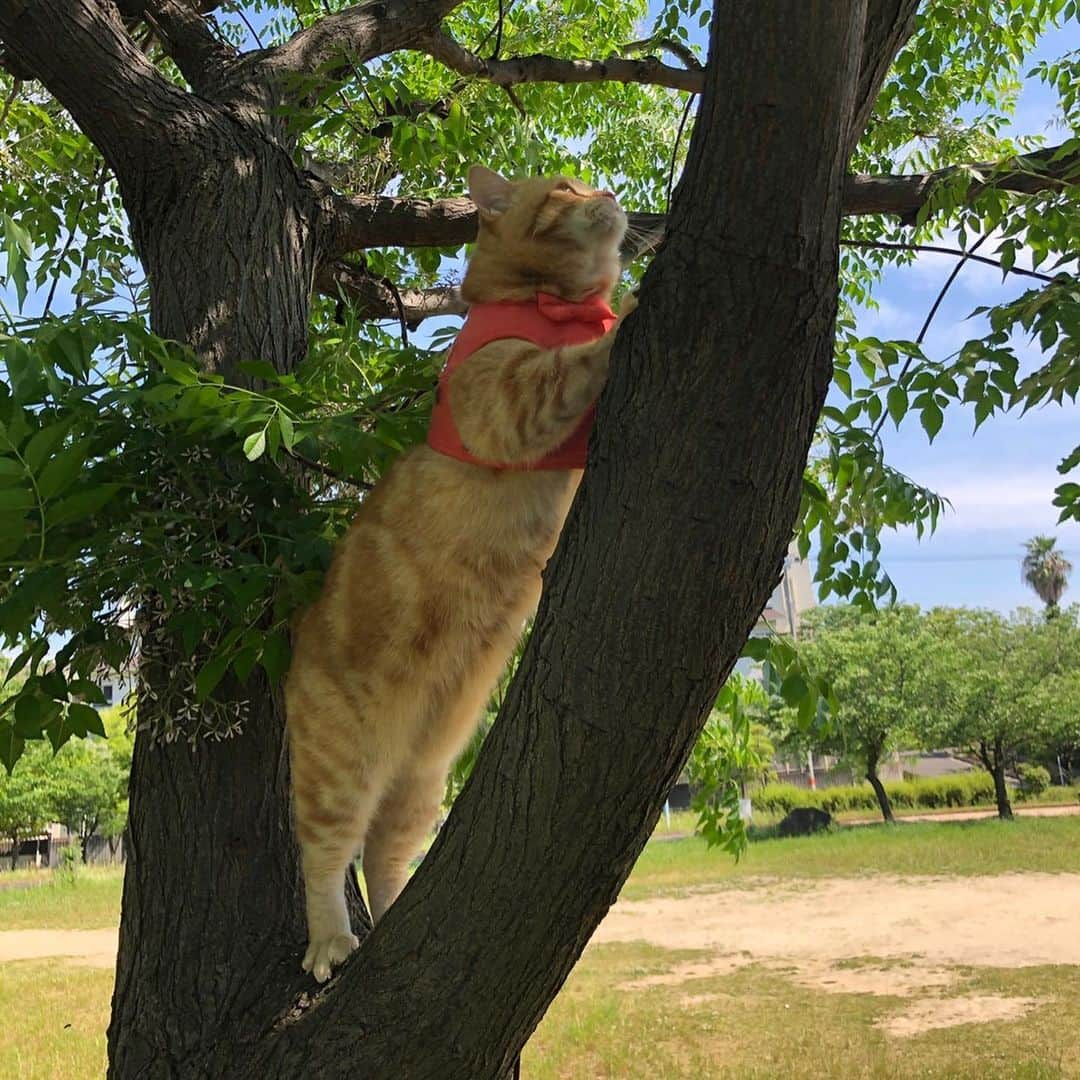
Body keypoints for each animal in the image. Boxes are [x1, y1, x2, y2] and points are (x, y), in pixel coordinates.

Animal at [287, 162, 630, 980]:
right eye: (564, 187)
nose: (608, 192)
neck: (545, 300)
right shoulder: (506, 399)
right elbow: (568, 366)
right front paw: (629, 309)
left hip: (418, 782)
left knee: (383, 858)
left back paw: (392, 918)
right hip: (340, 770)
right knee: (323, 859)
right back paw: (330, 942)